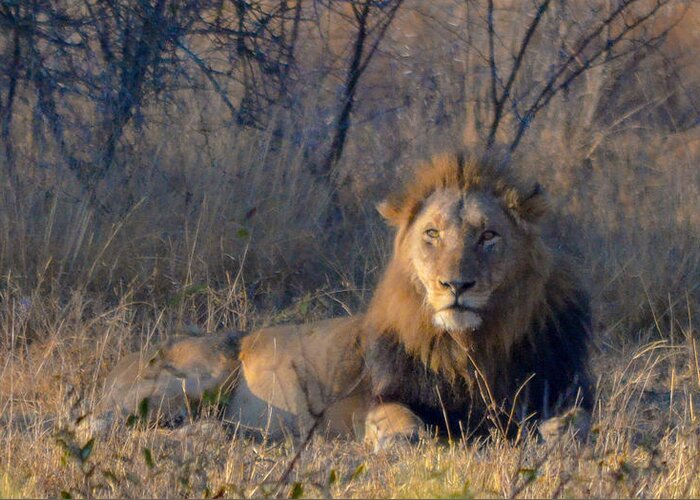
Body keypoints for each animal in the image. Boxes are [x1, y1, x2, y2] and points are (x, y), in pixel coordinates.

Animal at [97, 151, 592, 446]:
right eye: (432, 234)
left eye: (488, 236)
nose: (455, 285)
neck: (469, 348)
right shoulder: (375, 401)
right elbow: (406, 426)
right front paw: (400, 442)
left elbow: (576, 424)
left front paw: (556, 434)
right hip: (195, 376)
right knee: (98, 425)